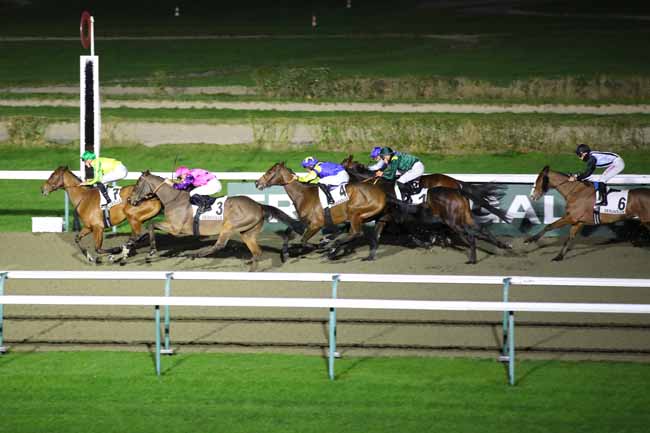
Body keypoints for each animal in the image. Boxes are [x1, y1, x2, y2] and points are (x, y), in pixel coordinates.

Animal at [126, 171, 304, 270]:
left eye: (137, 185)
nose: (130, 200)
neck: (173, 199)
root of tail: (259, 205)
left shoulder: (176, 228)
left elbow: (151, 224)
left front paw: (151, 251)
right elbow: (148, 227)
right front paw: (132, 244)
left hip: (229, 225)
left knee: (219, 245)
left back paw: (194, 254)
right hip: (247, 233)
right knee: (256, 252)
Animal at [253, 160, 388, 258]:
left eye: (270, 171)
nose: (257, 183)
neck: (303, 194)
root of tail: (381, 193)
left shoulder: (316, 224)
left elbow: (304, 241)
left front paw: (319, 246)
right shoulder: (304, 221)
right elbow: (288, 233)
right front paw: (285, 252)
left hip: (355, 212)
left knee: (356, 232)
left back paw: (332, 246)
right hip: (365, 216)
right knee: (353, 232)